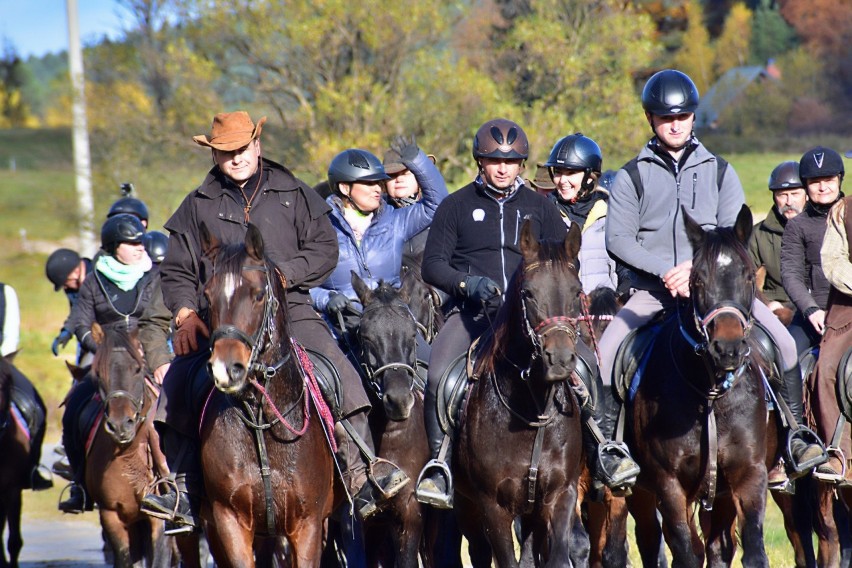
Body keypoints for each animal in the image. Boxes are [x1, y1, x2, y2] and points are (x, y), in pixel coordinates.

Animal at [85, 326, 171, 568]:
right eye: (99, 372)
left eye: (137, 369)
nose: (121, 425)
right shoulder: (111, 515)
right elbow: (125, 559)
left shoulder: (158, 520)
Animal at [198, 224, 334, 564]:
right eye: (207, 297)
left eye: (259, 295)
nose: (226, 369)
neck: (261, 419)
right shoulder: (229, 523)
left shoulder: (308, 526)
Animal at [452, 220, 584, 564]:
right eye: (528, 293)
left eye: (577, 292)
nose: (560, 359)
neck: (532, 407)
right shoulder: (493, 507)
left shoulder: (560, 495)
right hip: (467, 506)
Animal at [624, 206, 772, 564]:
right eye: (697, 280)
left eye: (748, 277)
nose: (728, 348)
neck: (711, 395)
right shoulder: (668, 485)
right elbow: (685, 550)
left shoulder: (749, 474)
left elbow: (753, 550)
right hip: (641, 492)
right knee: (653, 538)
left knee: (718, 547)